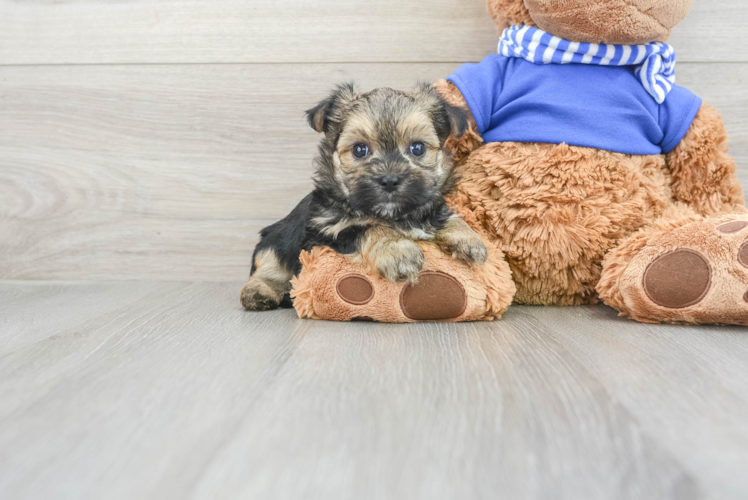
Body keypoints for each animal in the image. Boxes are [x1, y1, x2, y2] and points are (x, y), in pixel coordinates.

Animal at [243, 82, 490, 310]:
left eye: (418, 148)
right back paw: (258, 292)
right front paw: (398, 252)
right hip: (275, 242)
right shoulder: (325, 231)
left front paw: (470, 239)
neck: (394, 215)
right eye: (359, 150)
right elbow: (368, 227)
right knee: (268, 269)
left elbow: (449, 217)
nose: (390, 180)